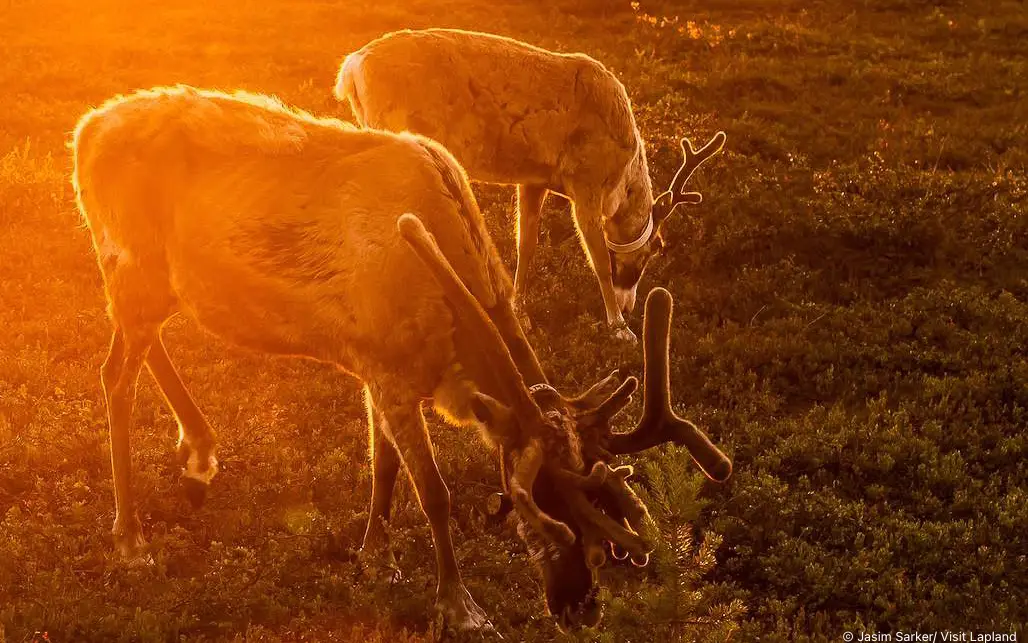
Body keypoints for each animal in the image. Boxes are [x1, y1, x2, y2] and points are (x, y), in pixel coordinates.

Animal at [71, 85, 732, 633]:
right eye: (542, 502)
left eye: (607, 499)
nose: (580, 609)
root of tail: (84, 132)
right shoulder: (391, 373)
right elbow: (434, 493)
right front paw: (460, 607)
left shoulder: (375, 365)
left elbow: (383, 465)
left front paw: (376, 556)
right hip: (130, 265)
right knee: (113, 377)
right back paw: (130, 538)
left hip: (156, 284)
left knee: (144, 348)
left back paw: (200, 450)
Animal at [334, 28, 726, 342]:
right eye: (653, 250)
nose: (629, 308)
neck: (620, 178)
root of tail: (350, 70)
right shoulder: (584, 183)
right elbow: (598, 258)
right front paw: (618, 329)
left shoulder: (534, 180)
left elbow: (527, 243)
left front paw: (521, 313)